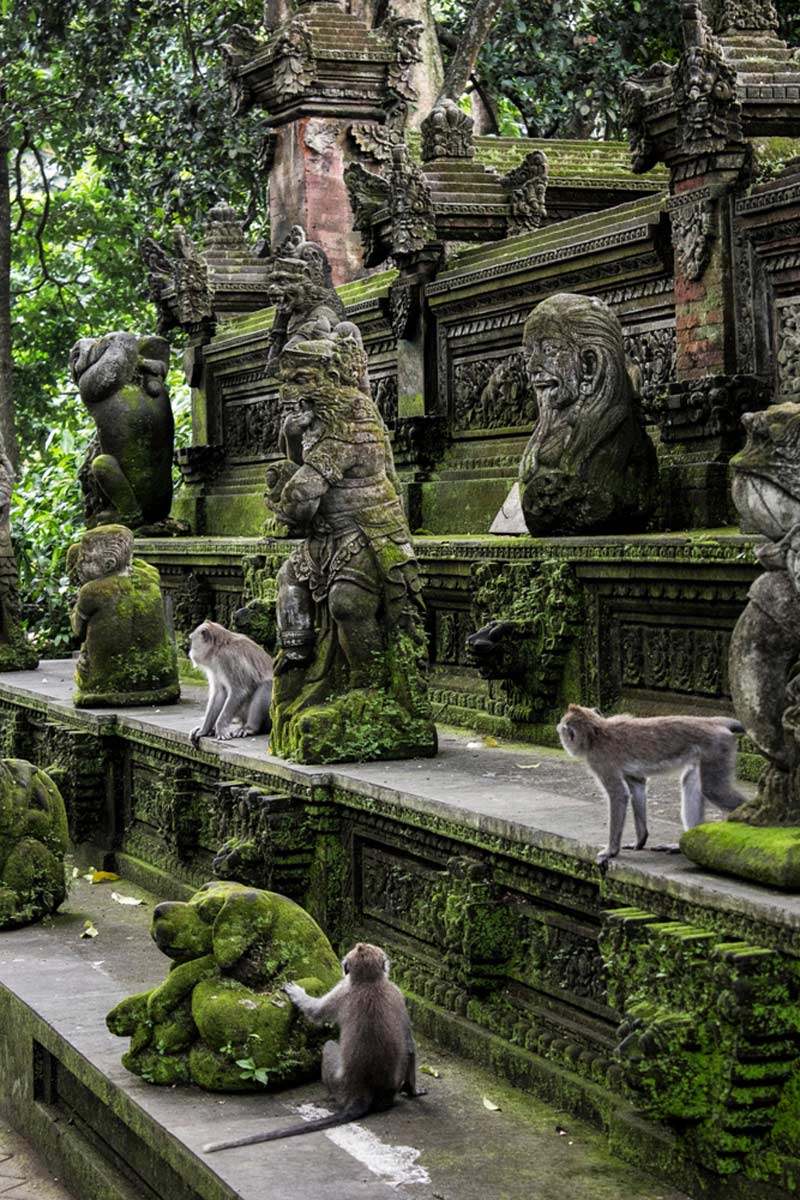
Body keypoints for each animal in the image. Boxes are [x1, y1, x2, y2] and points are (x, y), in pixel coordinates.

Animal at [201, 940, 424, 1147]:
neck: (369, 982)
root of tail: (362, 1091)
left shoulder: (346, 990)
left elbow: (315, 1012)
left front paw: (295, 993)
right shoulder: (396, 994)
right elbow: (410, 1045)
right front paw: (414, 1090)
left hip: (338, 1082)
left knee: (328, 1046)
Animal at [556, 700, 753, 873]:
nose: (559, 731)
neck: (596, 732)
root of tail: (714, 721)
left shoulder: (600, 761)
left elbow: (619, 795)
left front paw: (611, 851)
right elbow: (638, 787)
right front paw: (640, 840)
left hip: (717, 748)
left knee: (714, 789)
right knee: (690, 782)